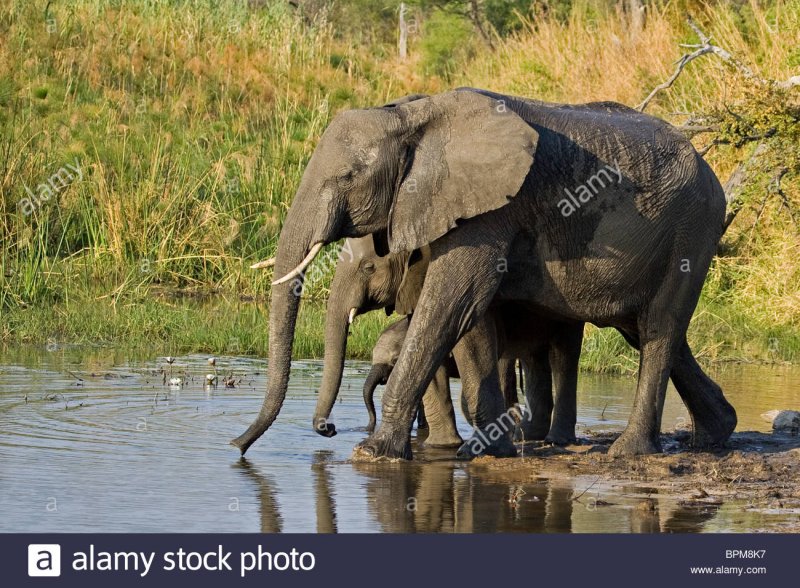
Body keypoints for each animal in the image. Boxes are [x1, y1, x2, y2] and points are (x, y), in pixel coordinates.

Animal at [233, 87, 737, 460]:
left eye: (348, 177)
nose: (237, 447)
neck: (415, 117)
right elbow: (473, 317)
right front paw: (490, 448)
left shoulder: (490, 210)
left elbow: (456, 298)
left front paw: (374, 454)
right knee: (646, 332)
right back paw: (715, 434)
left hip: (693, 228)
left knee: (657, 330)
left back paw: (627, 453)